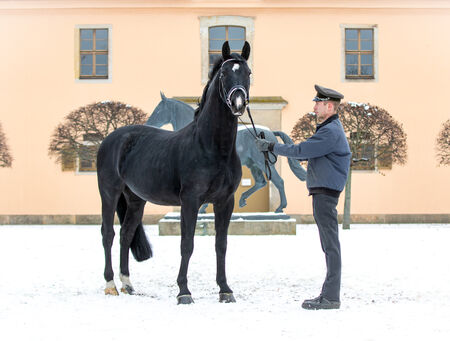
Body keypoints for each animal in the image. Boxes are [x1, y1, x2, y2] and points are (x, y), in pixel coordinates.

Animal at [97, 41, 251, 304]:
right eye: (223, 74)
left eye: (248, 73)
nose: (238, 103)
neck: (211, 147)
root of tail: (112, 139)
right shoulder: (190, 201)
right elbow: (187, 244)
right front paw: (184, 292)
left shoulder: (225, 201)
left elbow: (221, 244)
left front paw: (225, 289)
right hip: (109, 193)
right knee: (108, 234)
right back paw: (110, 285)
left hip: (135, 200)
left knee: (127, 234)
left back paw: (128, 284)